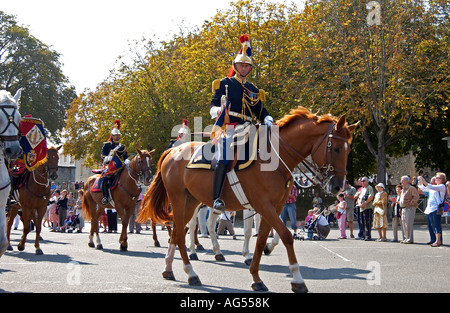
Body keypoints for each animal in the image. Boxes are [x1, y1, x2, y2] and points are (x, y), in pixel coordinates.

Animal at [137, 106, 358, 292]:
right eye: (336, 148)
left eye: (348, 149)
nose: (338, 185)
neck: (274, 159)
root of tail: (173, 150)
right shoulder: (263, 205)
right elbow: (286, 235)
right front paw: (297, 279)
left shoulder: (275, 207)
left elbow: (261, 239)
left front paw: (256, 276)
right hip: (179, 200)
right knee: (183, 232)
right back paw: (191, 271)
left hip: (191, 202)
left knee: (178, 232)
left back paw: (170, 268)